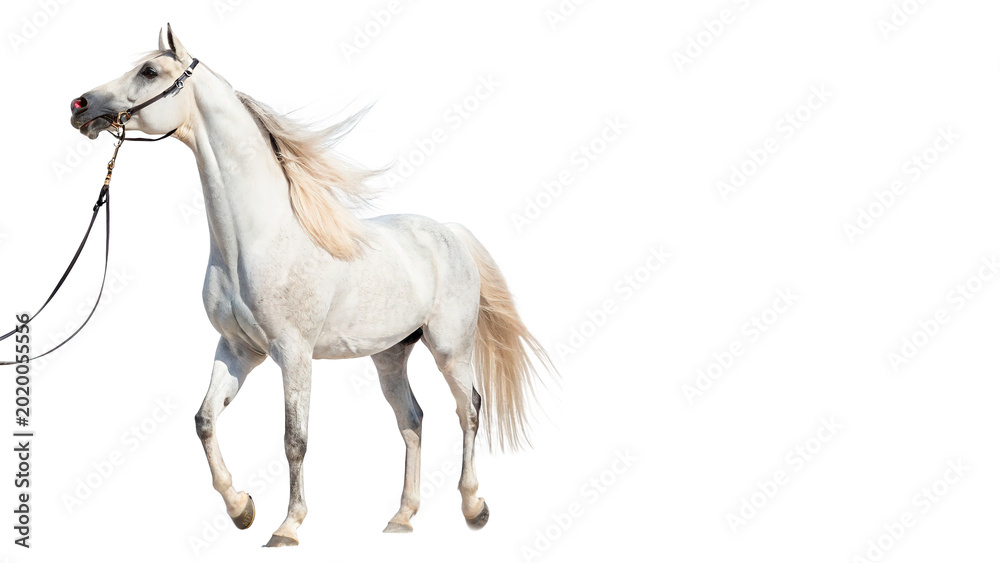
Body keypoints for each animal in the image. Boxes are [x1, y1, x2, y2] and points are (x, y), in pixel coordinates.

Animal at [68, 24, 554, 547]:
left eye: (150, 71)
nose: (79, 105)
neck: (255, 239)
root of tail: (449, 232)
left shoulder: (294, 353)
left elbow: (294, 440)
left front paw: (287, 526)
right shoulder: (238, 350)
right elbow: (204, 420)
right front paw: (241, 508)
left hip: (450, 349)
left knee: (469, 410)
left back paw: (473, 506)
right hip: (390, 355)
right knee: (412, 420)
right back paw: (401, 518)